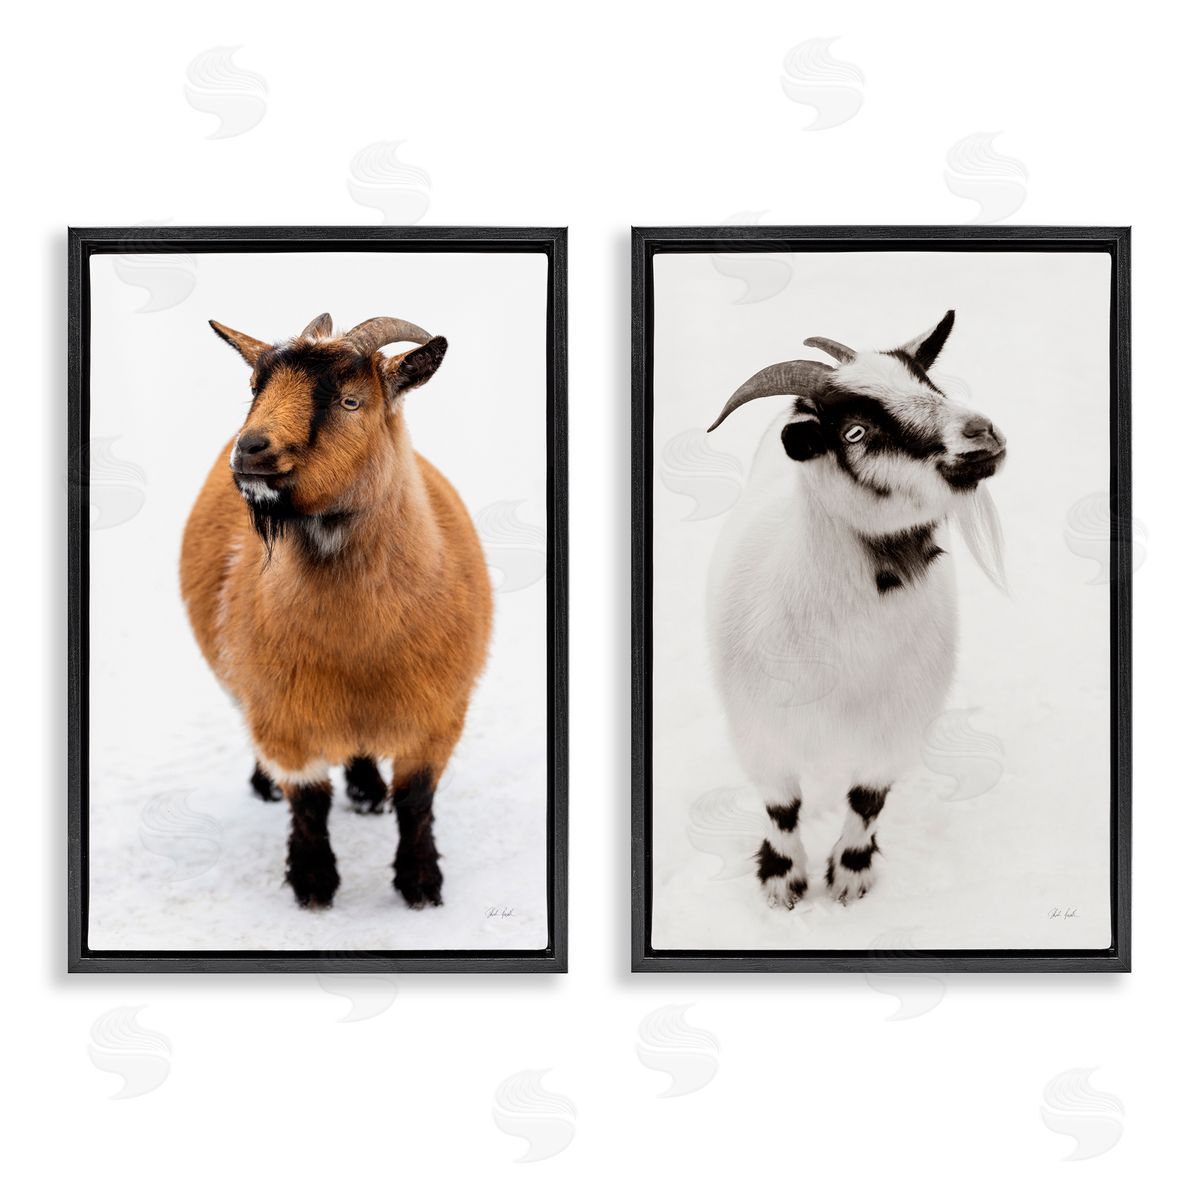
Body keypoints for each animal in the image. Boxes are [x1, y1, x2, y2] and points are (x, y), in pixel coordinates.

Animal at [180, 312, 492, 909]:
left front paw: (421, 886)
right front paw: (313, 884)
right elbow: (309, 802)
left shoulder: (439, 714)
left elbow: (416, 800)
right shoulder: (283, 716)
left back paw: (368, 789)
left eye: (351, 401)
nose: (250, 449)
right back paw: (267, 786)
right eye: (254, 387)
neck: (358, 648)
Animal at [705, 311, 1005, 907]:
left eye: (930, 386)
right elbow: (781, 807)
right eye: (855, 432)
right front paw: (783, 882)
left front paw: (849, 877)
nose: (981, 433)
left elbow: (867, 802)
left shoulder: (896, 729)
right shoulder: (758, 731)